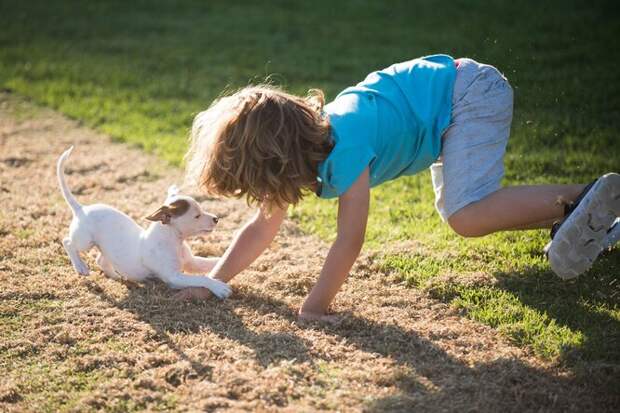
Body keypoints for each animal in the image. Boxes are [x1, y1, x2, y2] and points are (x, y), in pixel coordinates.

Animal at [57, 146, 231, 298]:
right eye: (197, 216)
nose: (216, 219)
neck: (173, 240)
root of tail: (82, 209)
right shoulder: (174, 278)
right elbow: (201, 278)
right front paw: (219, 287)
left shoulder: (192, 263)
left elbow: (210, 263)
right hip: (84, 241)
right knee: (67, 242)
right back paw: (80, 267)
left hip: (105, 247)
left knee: (101, 260)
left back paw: (116, 276)